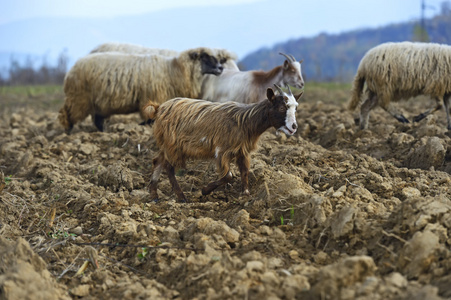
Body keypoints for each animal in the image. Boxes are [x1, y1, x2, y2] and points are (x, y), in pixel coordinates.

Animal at [58, 47, 231, 132]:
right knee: (67, 114)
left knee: (97, 120)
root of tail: (71, 70)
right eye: (204, 56)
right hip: (79, 99)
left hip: (99, 103)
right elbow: (150, 119)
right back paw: (67, 132)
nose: (221, 68)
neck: (172, 70)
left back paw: (104, 133)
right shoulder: (153, 97)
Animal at [143, 83, 302, 203]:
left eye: (296, 108)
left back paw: (154, 196)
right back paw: (181, 197)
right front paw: (204, 190)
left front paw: (246, 195)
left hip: (167, 144)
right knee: (169, 167)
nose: (294, 127)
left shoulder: (242, 151)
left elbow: (245, 172)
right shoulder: (221, 150)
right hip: (173, 145)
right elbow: (229, 176)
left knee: (157, 161)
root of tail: (159, 108)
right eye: (281, 107)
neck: (245, 121)